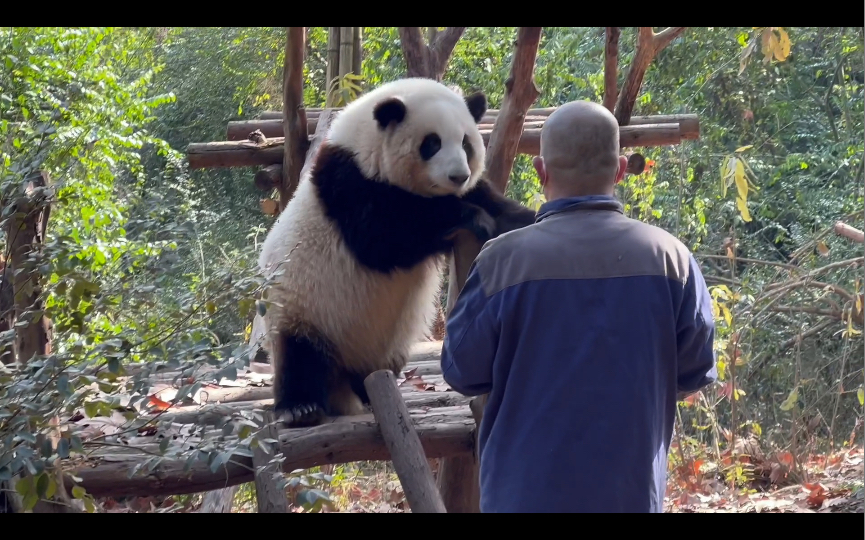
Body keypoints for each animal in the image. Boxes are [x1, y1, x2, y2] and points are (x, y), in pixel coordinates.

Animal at [260, 78, 536, 428]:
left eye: (466, 143)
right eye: (432, 143)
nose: (458, 176)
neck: (364, 146)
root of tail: (342, 383)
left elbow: (498, 206)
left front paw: (522, 220)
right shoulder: (347, 182)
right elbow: (383, 238)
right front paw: (472, 217)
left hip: (386, 343)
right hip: (302, 306)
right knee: (300, 354)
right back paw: (301, 407)